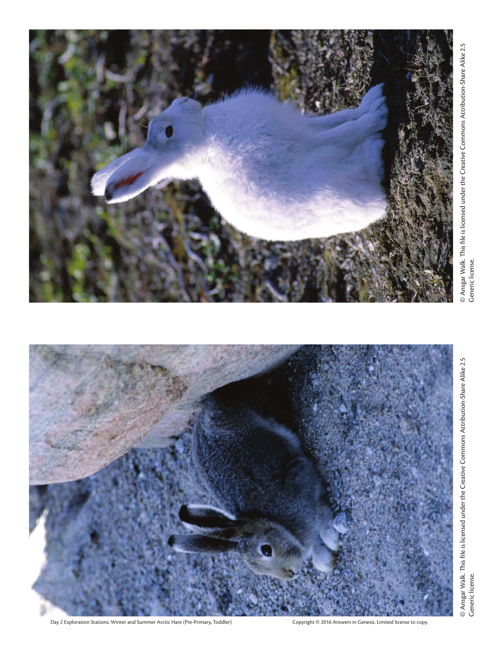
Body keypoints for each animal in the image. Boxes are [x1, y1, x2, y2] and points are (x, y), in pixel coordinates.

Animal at [91, 84, 388, 241]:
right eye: (169, 131)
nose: (184, 99)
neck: (205, 136)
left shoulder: (300, 128)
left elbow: (339, 118)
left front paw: (372, 100)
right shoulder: (292, 145)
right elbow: (343, 131)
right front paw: (378, 114)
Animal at [168, 384, 348, 580]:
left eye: (266, 550)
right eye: (258, 570)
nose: (291, 574)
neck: (280, 525)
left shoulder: (304, 481)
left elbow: (322, 516)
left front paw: (331, 538)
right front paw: (324, 560)